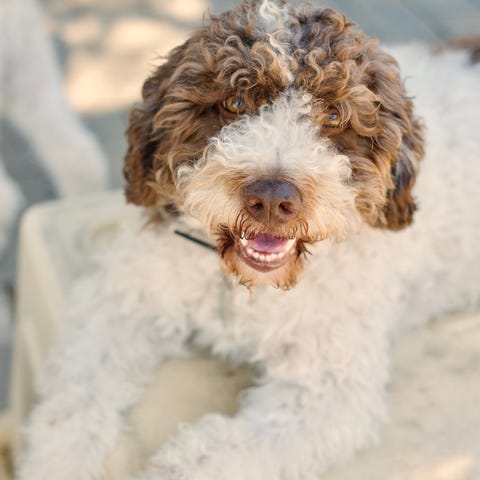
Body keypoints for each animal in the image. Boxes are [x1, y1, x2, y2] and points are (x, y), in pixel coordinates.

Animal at [15, 0, 480, 480]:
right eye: (236, 102)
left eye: (334, 114)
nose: (272, 198)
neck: (241, 289)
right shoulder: (124, 298)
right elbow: (72, 402)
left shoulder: (326, 389)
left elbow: (211, 453)